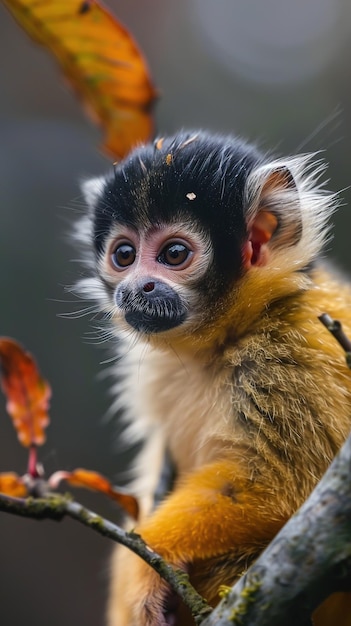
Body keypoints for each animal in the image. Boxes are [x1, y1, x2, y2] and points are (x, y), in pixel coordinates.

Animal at [75, 132, 351, 624]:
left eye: (174, 254)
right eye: (124, 255)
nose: (136, 287)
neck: (228, 338)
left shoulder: (293, 354)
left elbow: (278, 486)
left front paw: (147, 569)